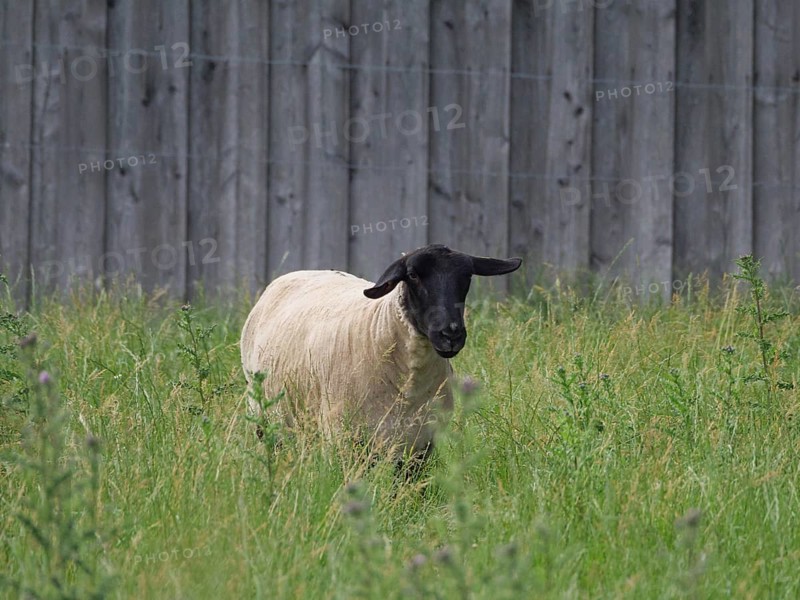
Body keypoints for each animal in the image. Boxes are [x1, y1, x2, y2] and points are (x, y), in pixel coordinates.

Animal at [239, 244, 522, 461]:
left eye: (467, 277)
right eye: (412, 275)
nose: (451, 335)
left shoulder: (420, 445)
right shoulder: (342, 438)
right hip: (265, 416)